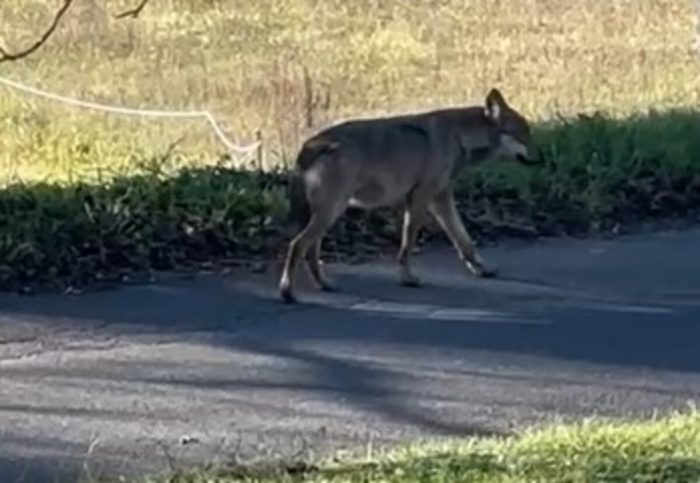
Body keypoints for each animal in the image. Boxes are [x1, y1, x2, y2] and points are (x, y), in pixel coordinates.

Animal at [278, 88, 536, 302]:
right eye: (523, 135)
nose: (540, 159)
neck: (458, 136)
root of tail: (310, 144)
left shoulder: (440, 199)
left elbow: (465, 240)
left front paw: (482, 269)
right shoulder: (420, 198)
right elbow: (408, 244)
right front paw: (408, 278)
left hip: (328, 214)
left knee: (310, 251)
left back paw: (324, 284)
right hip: (332, 211)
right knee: (297, 245)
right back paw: (287, 291)